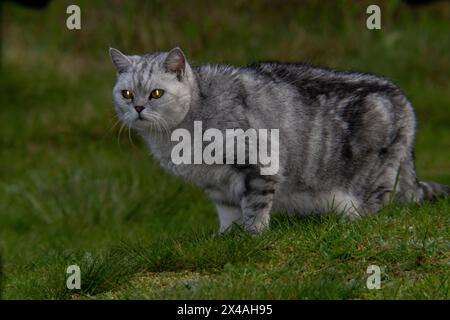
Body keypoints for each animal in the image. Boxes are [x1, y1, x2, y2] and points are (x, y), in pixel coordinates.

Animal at [109, 47, 450, 232]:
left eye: (156, 93)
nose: (138, 108)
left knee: (381, 209)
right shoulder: (216, 184)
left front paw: (252, 236)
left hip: (374, 178)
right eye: (126, 94)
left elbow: (255, 206)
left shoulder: (258, 162)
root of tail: (404, 100)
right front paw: (226, 236)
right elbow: (227, 212)